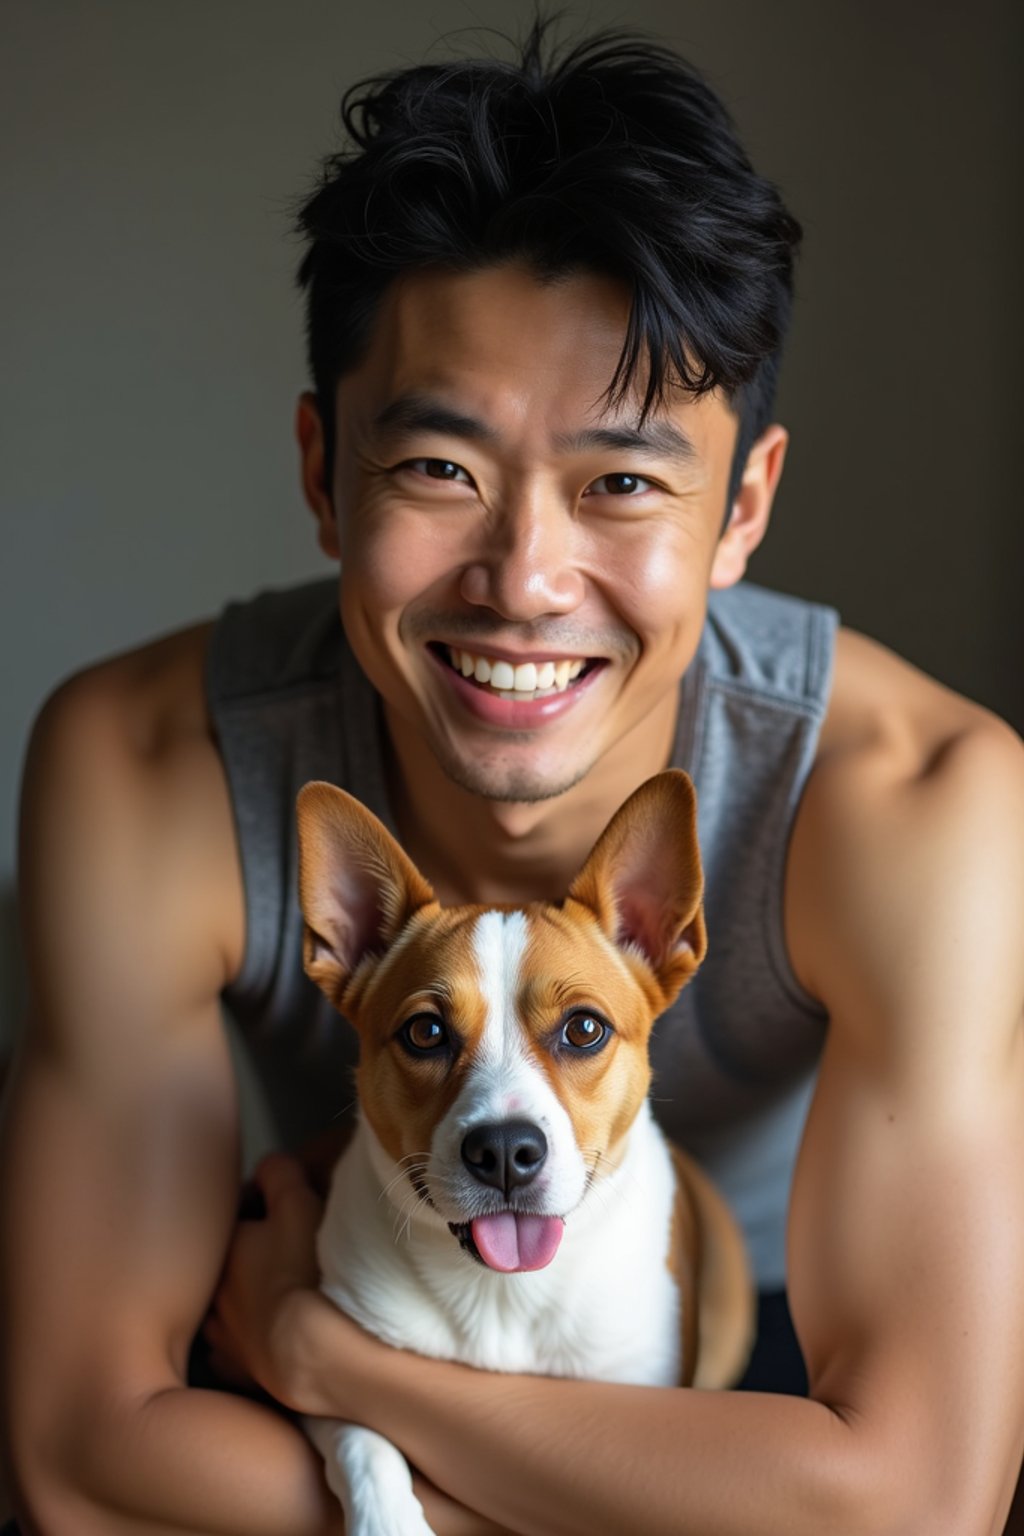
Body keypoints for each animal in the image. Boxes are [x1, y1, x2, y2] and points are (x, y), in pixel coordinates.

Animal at [294, 774, 752, 1529]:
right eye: (425, 1032)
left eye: (585, 1029)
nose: (505, 1151)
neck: (502, 1293)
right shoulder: (328, 1357)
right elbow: (362, 1438)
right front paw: (388, 1519)